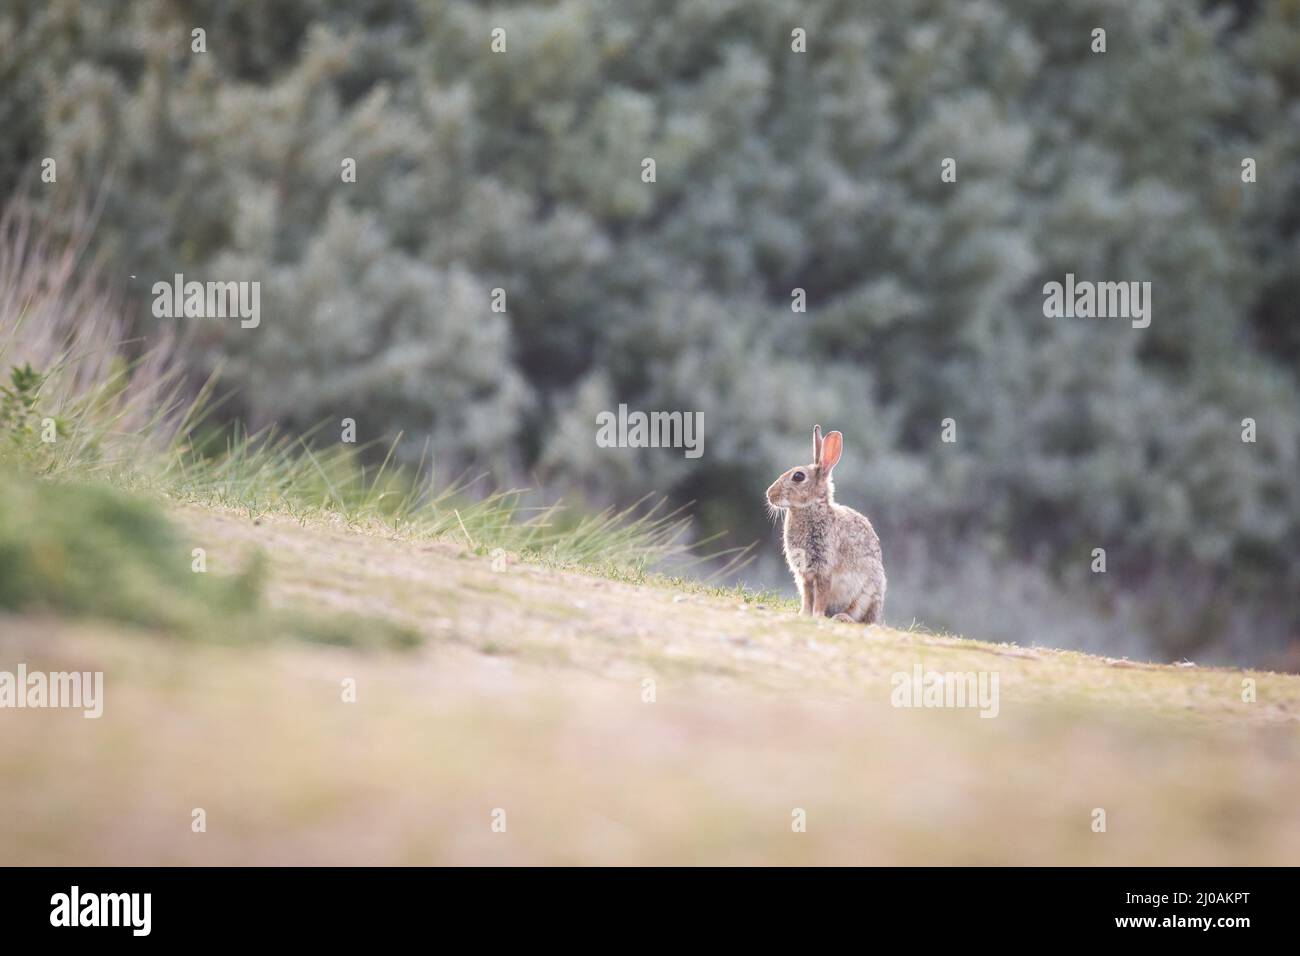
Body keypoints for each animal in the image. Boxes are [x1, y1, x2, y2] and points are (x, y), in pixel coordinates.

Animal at [765, 425, 886, 625]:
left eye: (798, 476)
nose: (769, 494)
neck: (812, 509)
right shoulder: (804, 574)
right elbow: (808, 595)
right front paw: (804, 614)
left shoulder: (824, 568)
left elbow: (821, 595)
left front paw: (817, 615)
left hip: (866, 593)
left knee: (859, 617)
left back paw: (842, 617)